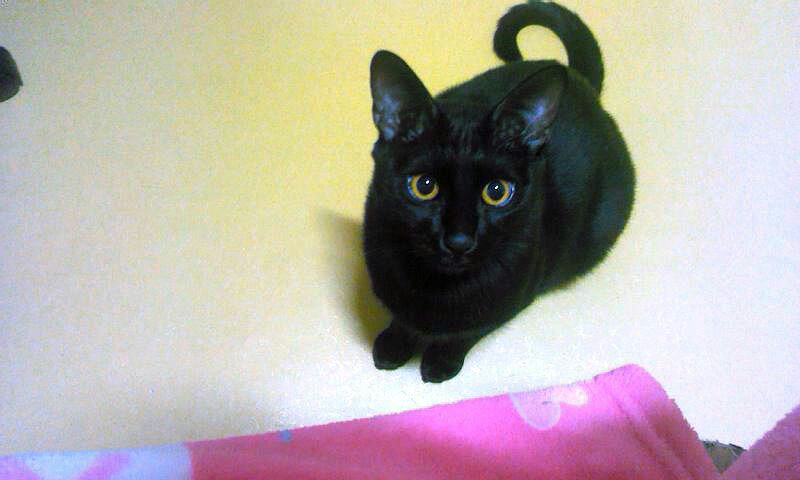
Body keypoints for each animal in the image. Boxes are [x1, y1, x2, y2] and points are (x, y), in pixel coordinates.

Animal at [364, 1, 635, 383]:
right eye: (424, 186)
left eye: (496, 191)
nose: (459, 240)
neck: (437, 287)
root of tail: (579, 83)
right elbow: (401, 317)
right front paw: (394, 344)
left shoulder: (515, 293)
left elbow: (468, 333)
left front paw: (441, 361)